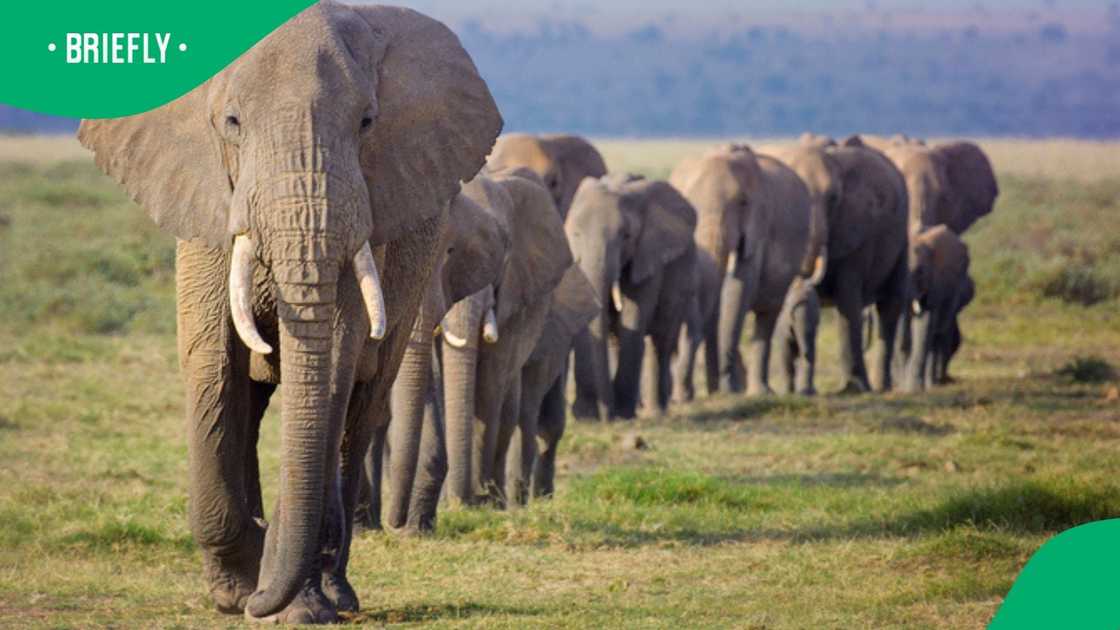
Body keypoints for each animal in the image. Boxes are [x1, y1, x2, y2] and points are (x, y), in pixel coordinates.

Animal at [78, 4, 501, 624]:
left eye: (368, 122)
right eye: (231, 122)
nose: (257, 598)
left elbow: (331, 369)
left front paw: (285, 604)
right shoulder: (206, 203)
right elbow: (211, 361)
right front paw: (237, 590)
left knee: (359, 410)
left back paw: (335, 593)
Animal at [566, 173, 699, 420]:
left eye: (625, 236)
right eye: (575, 234)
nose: (605, 417)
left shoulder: (648, 256)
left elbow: (633, 316)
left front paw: (623, 414)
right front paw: (591, 415)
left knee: (661, 339)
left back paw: (656, 411)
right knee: (617, 339)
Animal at [669, 145, 824, 397]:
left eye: (742, 203)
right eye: (688, 203)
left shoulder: (759, 226)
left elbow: (740, 286)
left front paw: (727, 389)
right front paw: (720, 390)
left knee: (767, 317)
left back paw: (759, 392)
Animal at [898, 225, 972, 393]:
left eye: (920, 272)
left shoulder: (936, 282)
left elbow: (925, 322)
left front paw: (913, 389)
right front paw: (904, 388)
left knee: (938, 334)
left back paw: (933, 383)